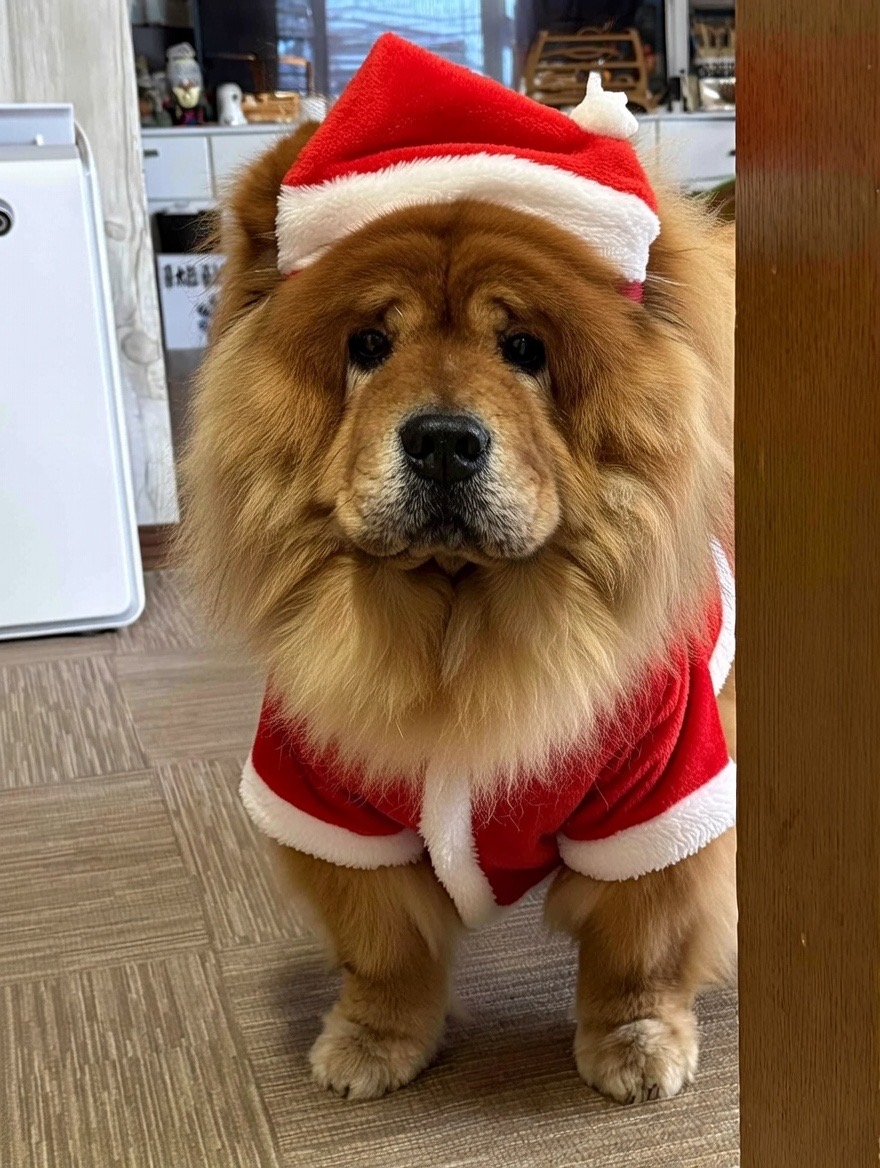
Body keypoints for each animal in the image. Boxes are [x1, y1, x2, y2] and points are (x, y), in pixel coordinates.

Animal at [182, 37, 736, 1106]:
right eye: (368, 344)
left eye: (524, 347)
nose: (442, 440)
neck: (458, 620)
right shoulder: (329, 799)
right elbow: (382, 948)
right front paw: (373, 1043)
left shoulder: (664, 790)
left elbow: (642, 945)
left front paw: (636, 1047)